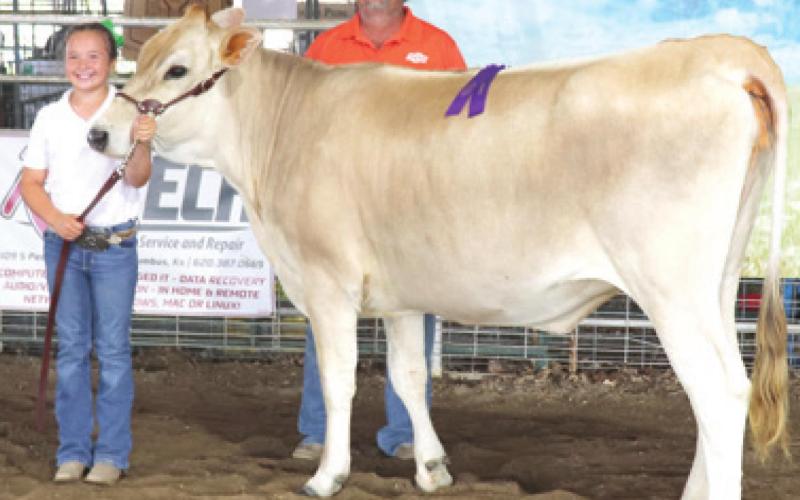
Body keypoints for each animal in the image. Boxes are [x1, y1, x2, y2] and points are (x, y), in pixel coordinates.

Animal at [88, 6, 789, 499]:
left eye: (177, 69)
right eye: (144, 57)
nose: (99, 132)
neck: (284, 133)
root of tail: (722, 54)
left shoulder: (326, 281)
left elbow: (340, 379)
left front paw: (327, 475)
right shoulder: (400, 293)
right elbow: (408, 376)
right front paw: (431, 467)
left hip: (671, 287)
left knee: (718, 391)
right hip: (719, 281)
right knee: (722, 388)